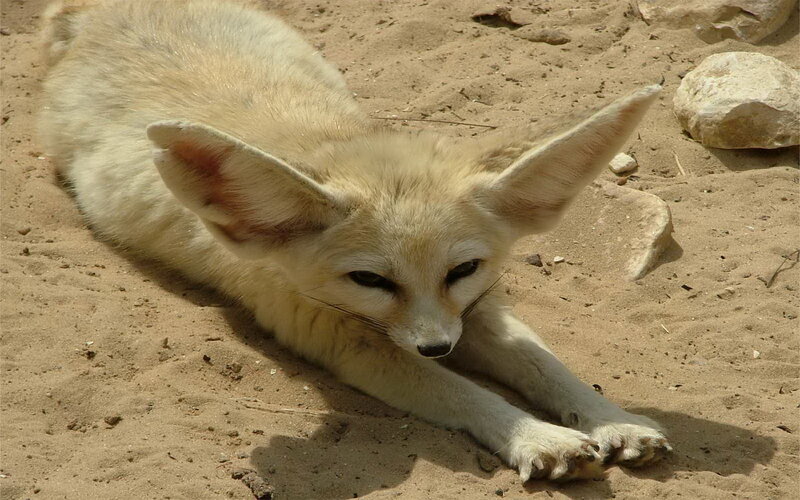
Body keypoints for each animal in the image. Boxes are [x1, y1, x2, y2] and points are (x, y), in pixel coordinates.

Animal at [39, 0, 671, 482]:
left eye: (462, 270)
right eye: (369, 280)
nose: (437, 346)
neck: (331, 144)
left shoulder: (474, 309)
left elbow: (544, 364)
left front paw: (612, 419)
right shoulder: (345, 339)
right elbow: (462, 392)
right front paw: (537, 436)